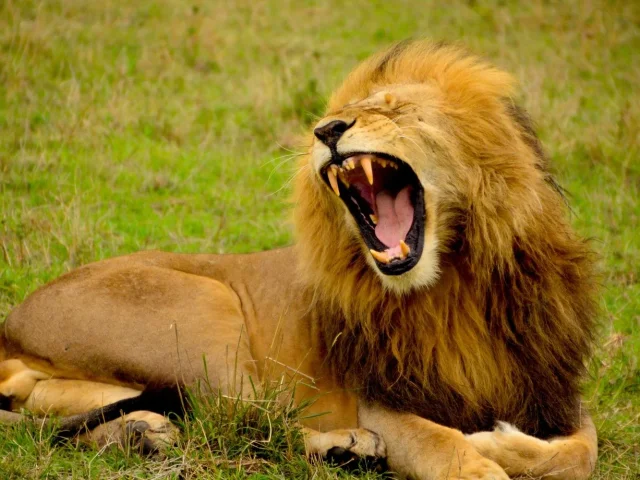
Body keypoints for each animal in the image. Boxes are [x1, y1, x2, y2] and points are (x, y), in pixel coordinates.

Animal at [0, 40, 598, 479]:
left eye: (393, 108)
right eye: (333, 116)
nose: (327, 131)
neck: (455, 283)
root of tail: (13, 323)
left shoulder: (550, 388)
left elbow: (581, 451)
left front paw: (497, 441)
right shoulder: (382, 401)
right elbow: (446, 448)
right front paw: (481, 452)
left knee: (47, 404)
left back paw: (141, 433)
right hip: (207, 308)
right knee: (243, 420)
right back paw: (345, 446)